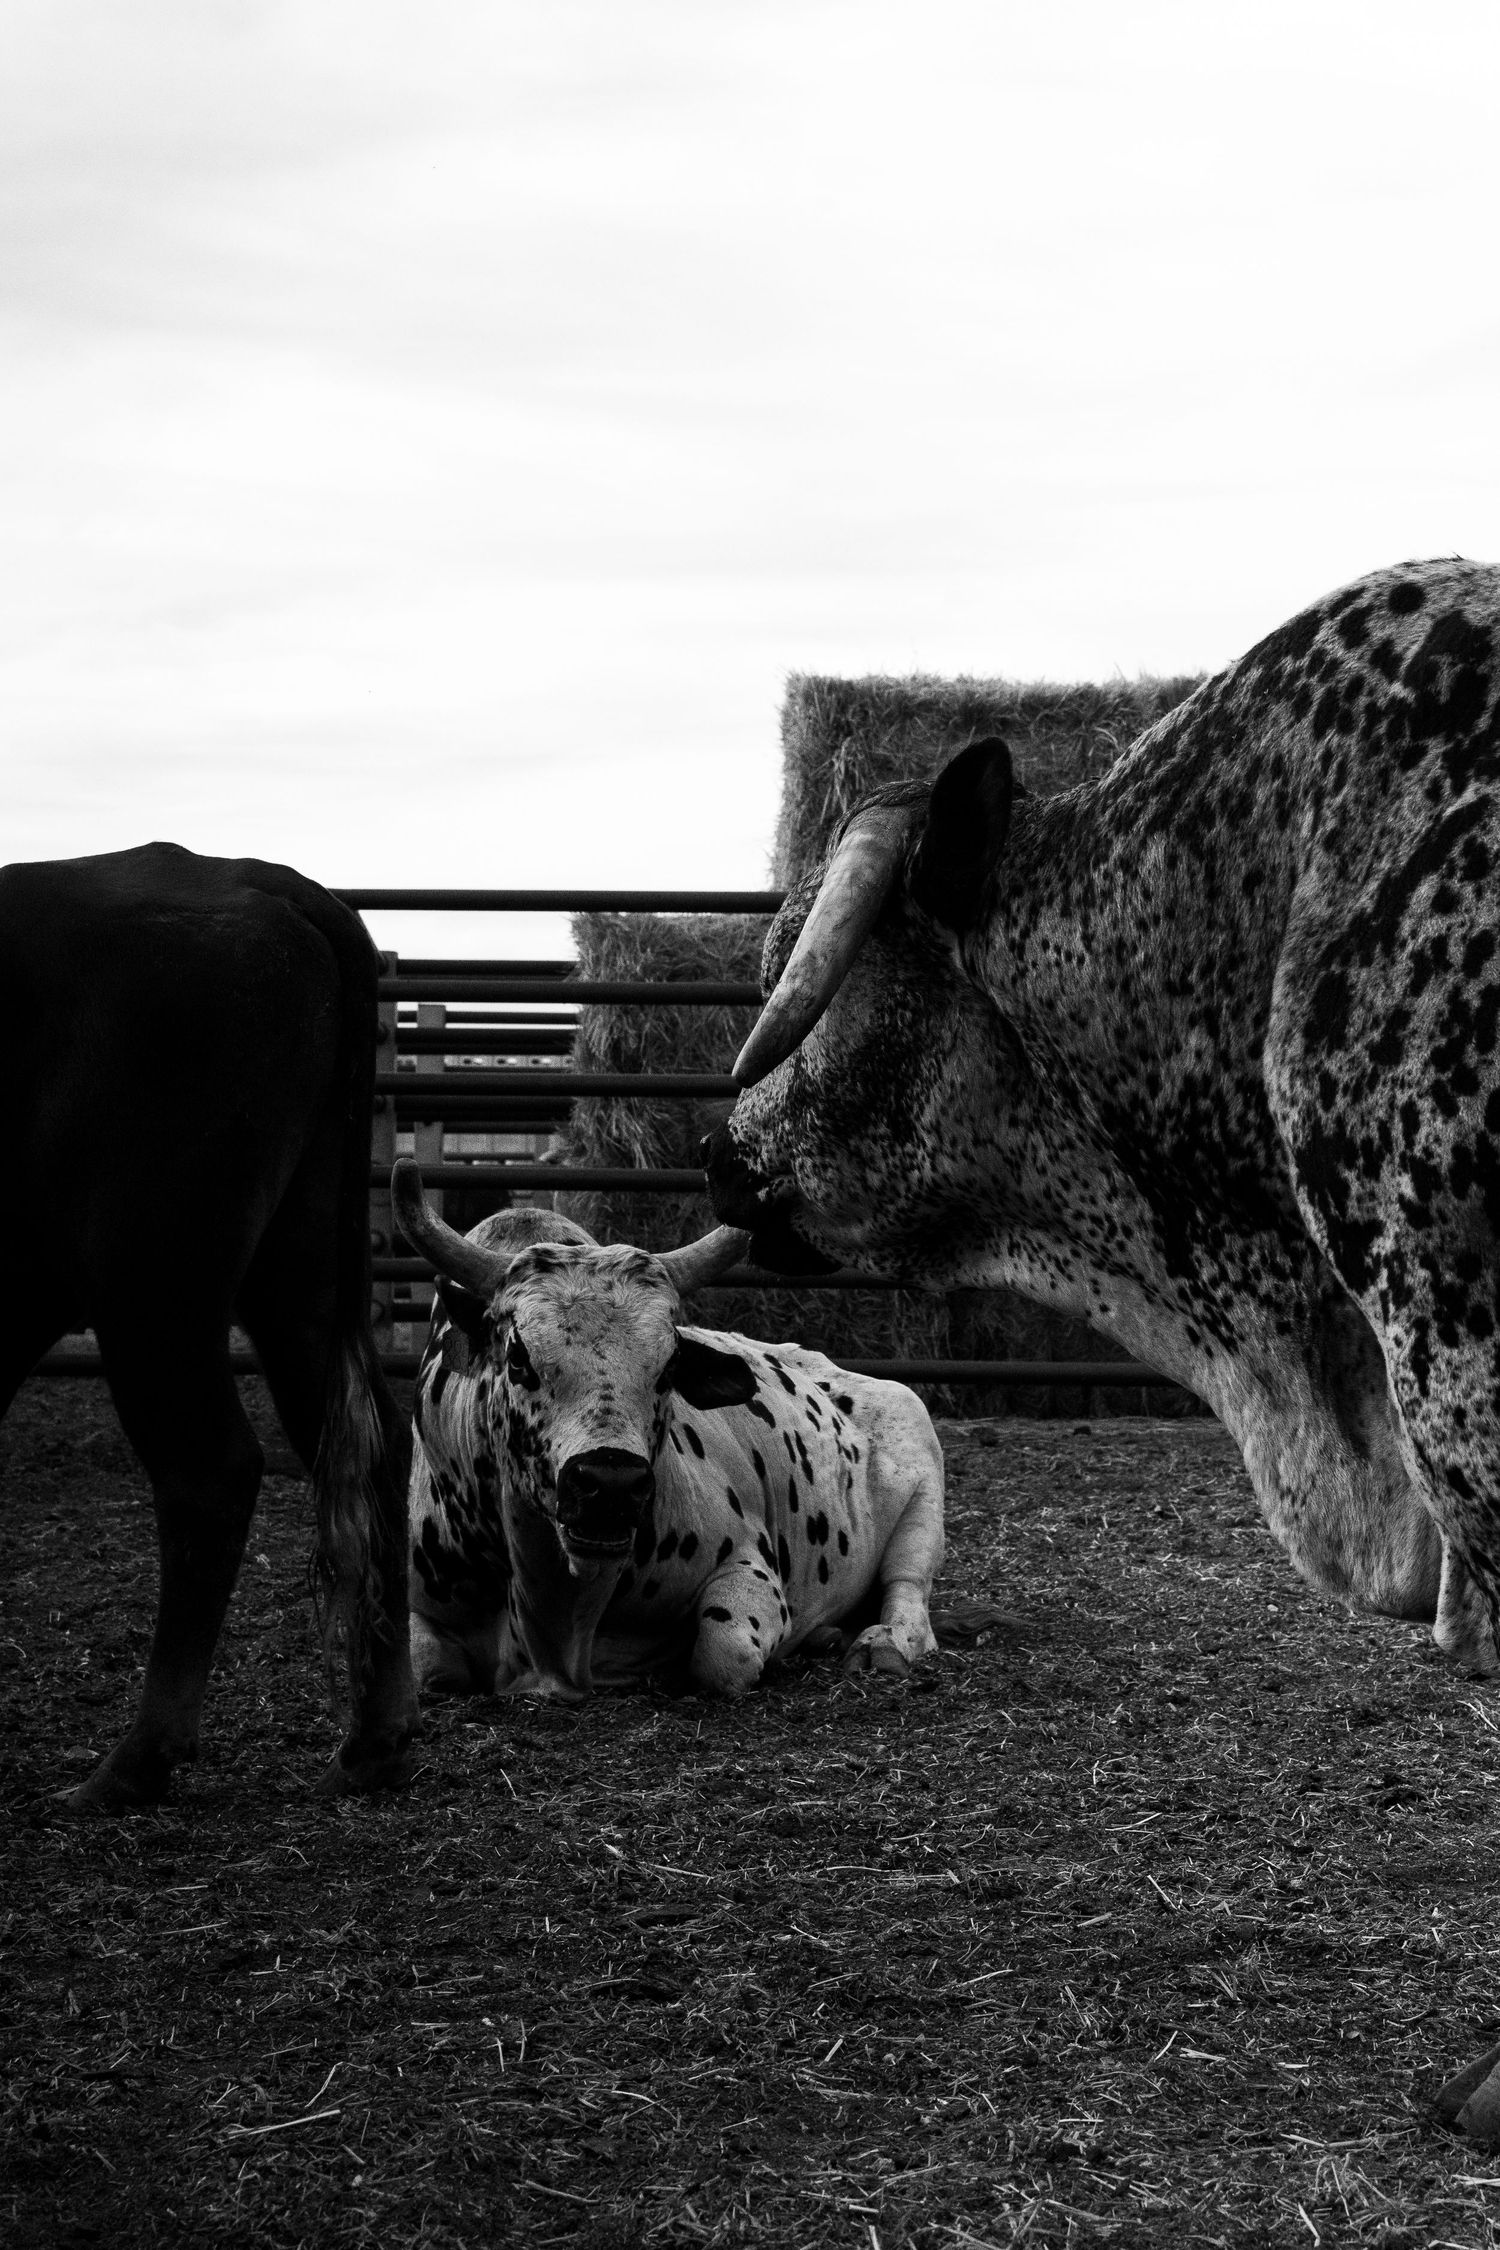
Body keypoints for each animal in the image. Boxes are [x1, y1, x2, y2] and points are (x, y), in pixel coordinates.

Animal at [0, 841, 419, 1810]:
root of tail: (244, 871)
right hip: (299, 1274)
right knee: (369, 1445)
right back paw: (374, 1742)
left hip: (151, 1280)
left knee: (210, 1470)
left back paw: (133, 1764)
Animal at [390, 1160, 945, 1702]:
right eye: (517, 1357)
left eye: (670, 1364)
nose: (610, 1484)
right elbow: (429, 1670)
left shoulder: (748, 1567)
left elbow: (724, 1655)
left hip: (921, 1506)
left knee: (908, 1595)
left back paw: (880, 1644)